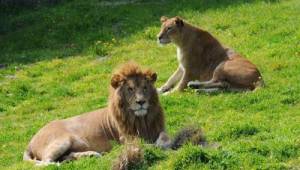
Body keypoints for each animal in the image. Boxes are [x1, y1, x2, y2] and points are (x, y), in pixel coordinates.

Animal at [22, 61, 169, 165]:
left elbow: (164, 136)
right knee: (45, 162)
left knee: (64, 156)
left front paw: (164, 142)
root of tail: (30, 142)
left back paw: (90, 155)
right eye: (130, 89)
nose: (141, 102)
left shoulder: (158, 128)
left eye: (145, 87)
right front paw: (157, 146)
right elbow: (146, 145)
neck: (141, 120)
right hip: (62, 141)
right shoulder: (127, 140)